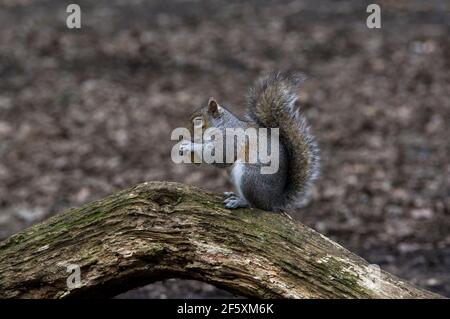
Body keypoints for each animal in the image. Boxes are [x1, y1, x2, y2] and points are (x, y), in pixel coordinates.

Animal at [179, 72, 320, 212]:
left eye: (198, 121)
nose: (181, 136)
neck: (222, 125)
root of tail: (273, 201)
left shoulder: (230, 139)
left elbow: (219, 156)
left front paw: (189, 146)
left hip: (249, 177)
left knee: (255, 205)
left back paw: (239, 202)